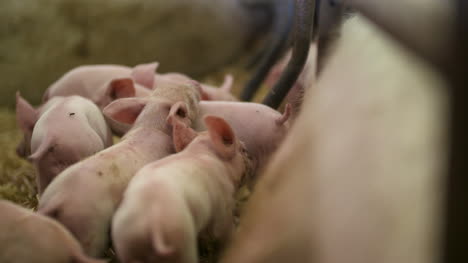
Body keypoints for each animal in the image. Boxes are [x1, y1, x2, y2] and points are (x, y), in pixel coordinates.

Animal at [112, 115, 252, 263]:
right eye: (244, 150)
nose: (252, 158)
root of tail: (153, 224)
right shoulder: (223, 204)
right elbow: (223, 231)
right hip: (182, 241)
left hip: (126, 247)